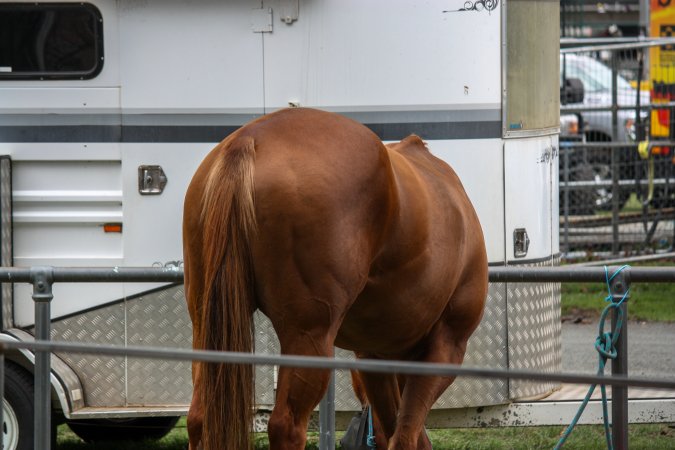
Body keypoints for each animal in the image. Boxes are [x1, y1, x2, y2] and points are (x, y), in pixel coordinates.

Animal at [182, 107, 488, 450]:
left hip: (206, 323)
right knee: (286, 426)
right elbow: (406, 438)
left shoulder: (375, 358)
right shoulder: (446, 347)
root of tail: (250, 138)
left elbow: (392, 432)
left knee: (199, 417)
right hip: (309, 336)